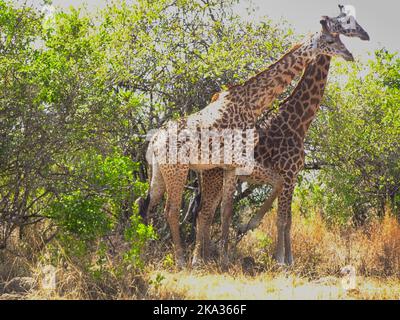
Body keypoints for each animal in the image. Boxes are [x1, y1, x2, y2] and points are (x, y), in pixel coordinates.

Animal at [141, 20, 354, 268]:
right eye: (331, 40)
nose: (349, 54)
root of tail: (154, 141)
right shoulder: (262, 166)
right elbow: (274, 213)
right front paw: (278, 259)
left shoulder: (237, 166)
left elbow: (228, 210)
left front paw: (225, 257)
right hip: (179, 170)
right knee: (174, 210)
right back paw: (183, 260)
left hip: (160, 172)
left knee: (152, 205)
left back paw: (153, 253)